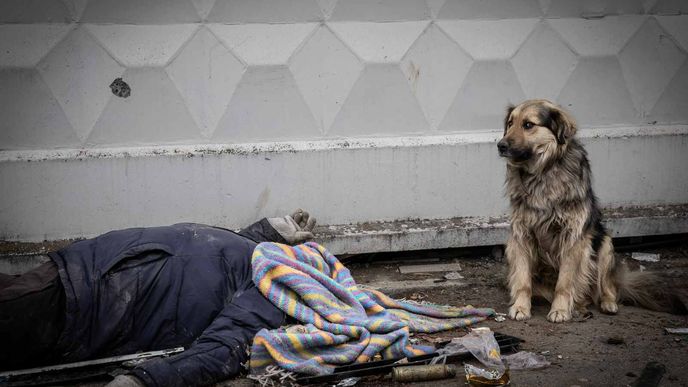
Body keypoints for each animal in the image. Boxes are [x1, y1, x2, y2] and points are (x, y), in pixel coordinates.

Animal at [498, 98, 684, 322]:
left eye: (528, 125)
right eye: (510, 123)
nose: (500, 145)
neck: (543, 173)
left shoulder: (573, 237)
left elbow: (565, 283)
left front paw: (560, 310)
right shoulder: (521, 235)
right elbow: (523, 279)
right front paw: (521, 307)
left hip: (604, 245)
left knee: (606, 286)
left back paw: (605, 303)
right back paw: (578, 307)